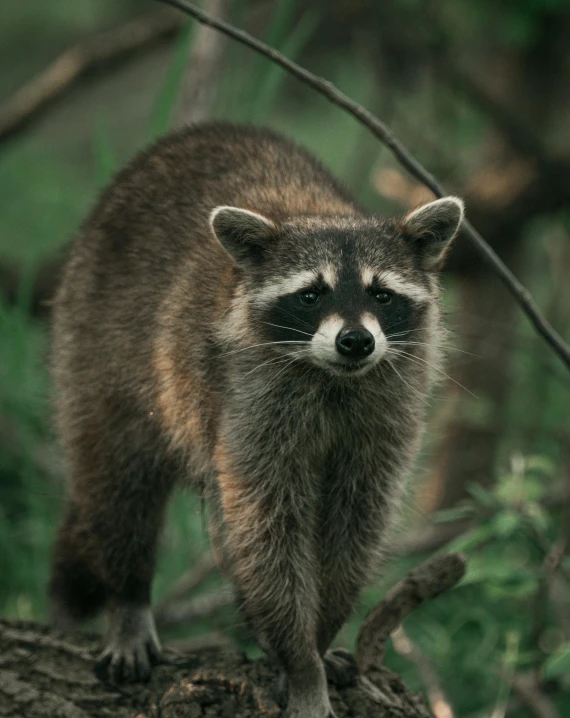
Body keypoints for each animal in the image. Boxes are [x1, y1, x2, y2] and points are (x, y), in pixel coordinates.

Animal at [48, 121, 462, 716]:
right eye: (311, 294)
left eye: (382, 294)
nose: (356, 341)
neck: (332, 379)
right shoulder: (249, 406)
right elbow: (267, 534)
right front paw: (302, 663)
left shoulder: (385, 419)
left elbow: (354, 524)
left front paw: (320, 639)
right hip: (94, 338)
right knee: (118, 482)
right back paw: (128, 598)